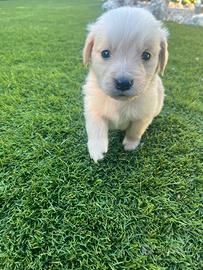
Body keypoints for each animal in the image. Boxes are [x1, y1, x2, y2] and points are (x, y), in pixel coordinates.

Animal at [82, 6, 168, 162]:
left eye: (146, 55)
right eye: (105, 53)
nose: (123, 83)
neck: (119, 103)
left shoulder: (144, 114)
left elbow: (135, 130)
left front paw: (130, 144)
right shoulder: (92, 106)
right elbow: (95, 127)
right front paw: (97, 149)